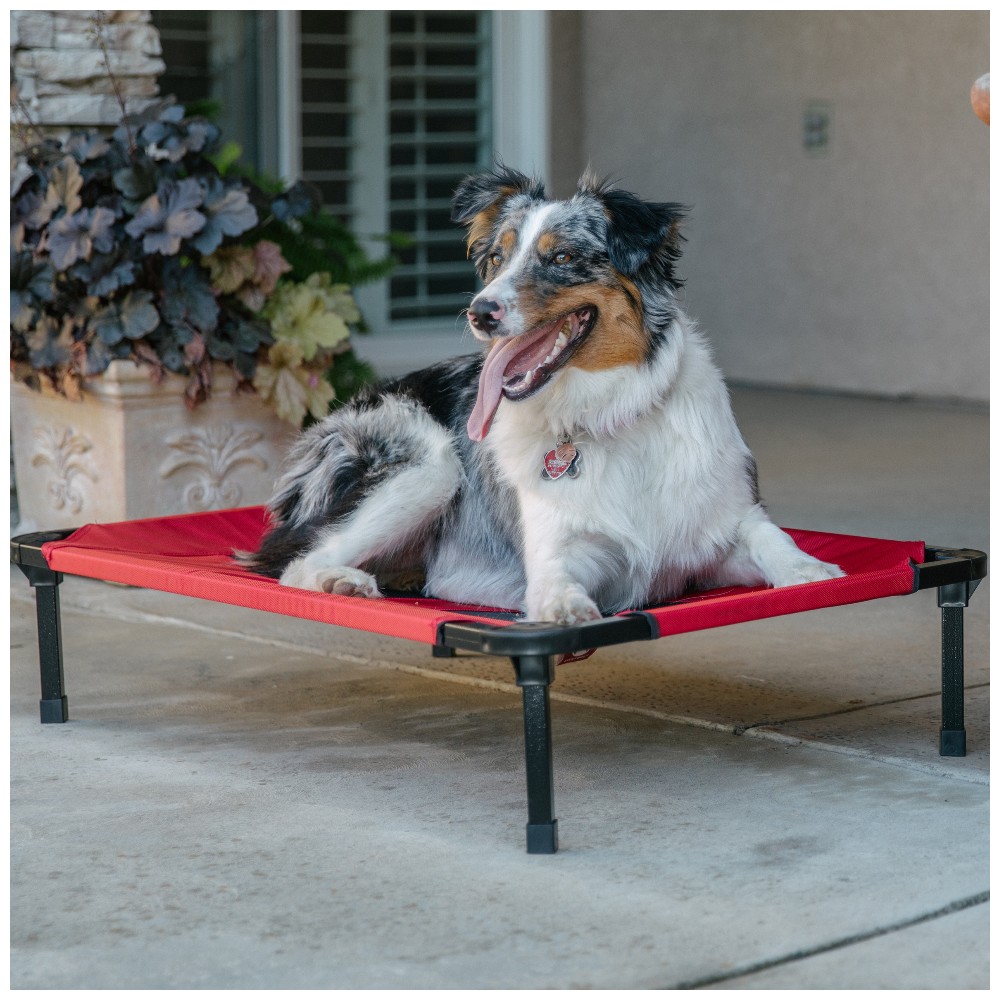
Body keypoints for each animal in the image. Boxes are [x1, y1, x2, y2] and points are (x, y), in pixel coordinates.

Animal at [244, 168, 844, 620]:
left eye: (562, 258)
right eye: (495, 259)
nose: (479, 312)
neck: (607, 413)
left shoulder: (719, 526)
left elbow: (770, 536)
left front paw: (810, 569)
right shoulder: (561, 544)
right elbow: (557, 577)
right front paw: (564, 608)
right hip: (428, 465)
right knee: (296, 563)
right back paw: (341, 581)